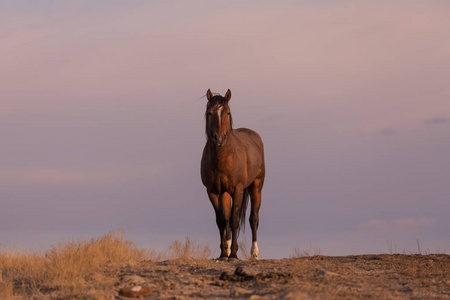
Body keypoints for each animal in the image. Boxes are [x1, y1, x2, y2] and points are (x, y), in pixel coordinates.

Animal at [200, 89, 264, 260]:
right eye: (210, 113)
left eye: (228, 113)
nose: (219, 138)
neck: (223, 159)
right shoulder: (213, 192)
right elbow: (222, 221)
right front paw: (224, 253)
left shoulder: (238, 190)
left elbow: (234, 220)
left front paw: (234, 254)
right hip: (226, 193)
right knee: (227, 220)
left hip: (256, 188)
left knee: (253, 219)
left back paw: (254, 253)